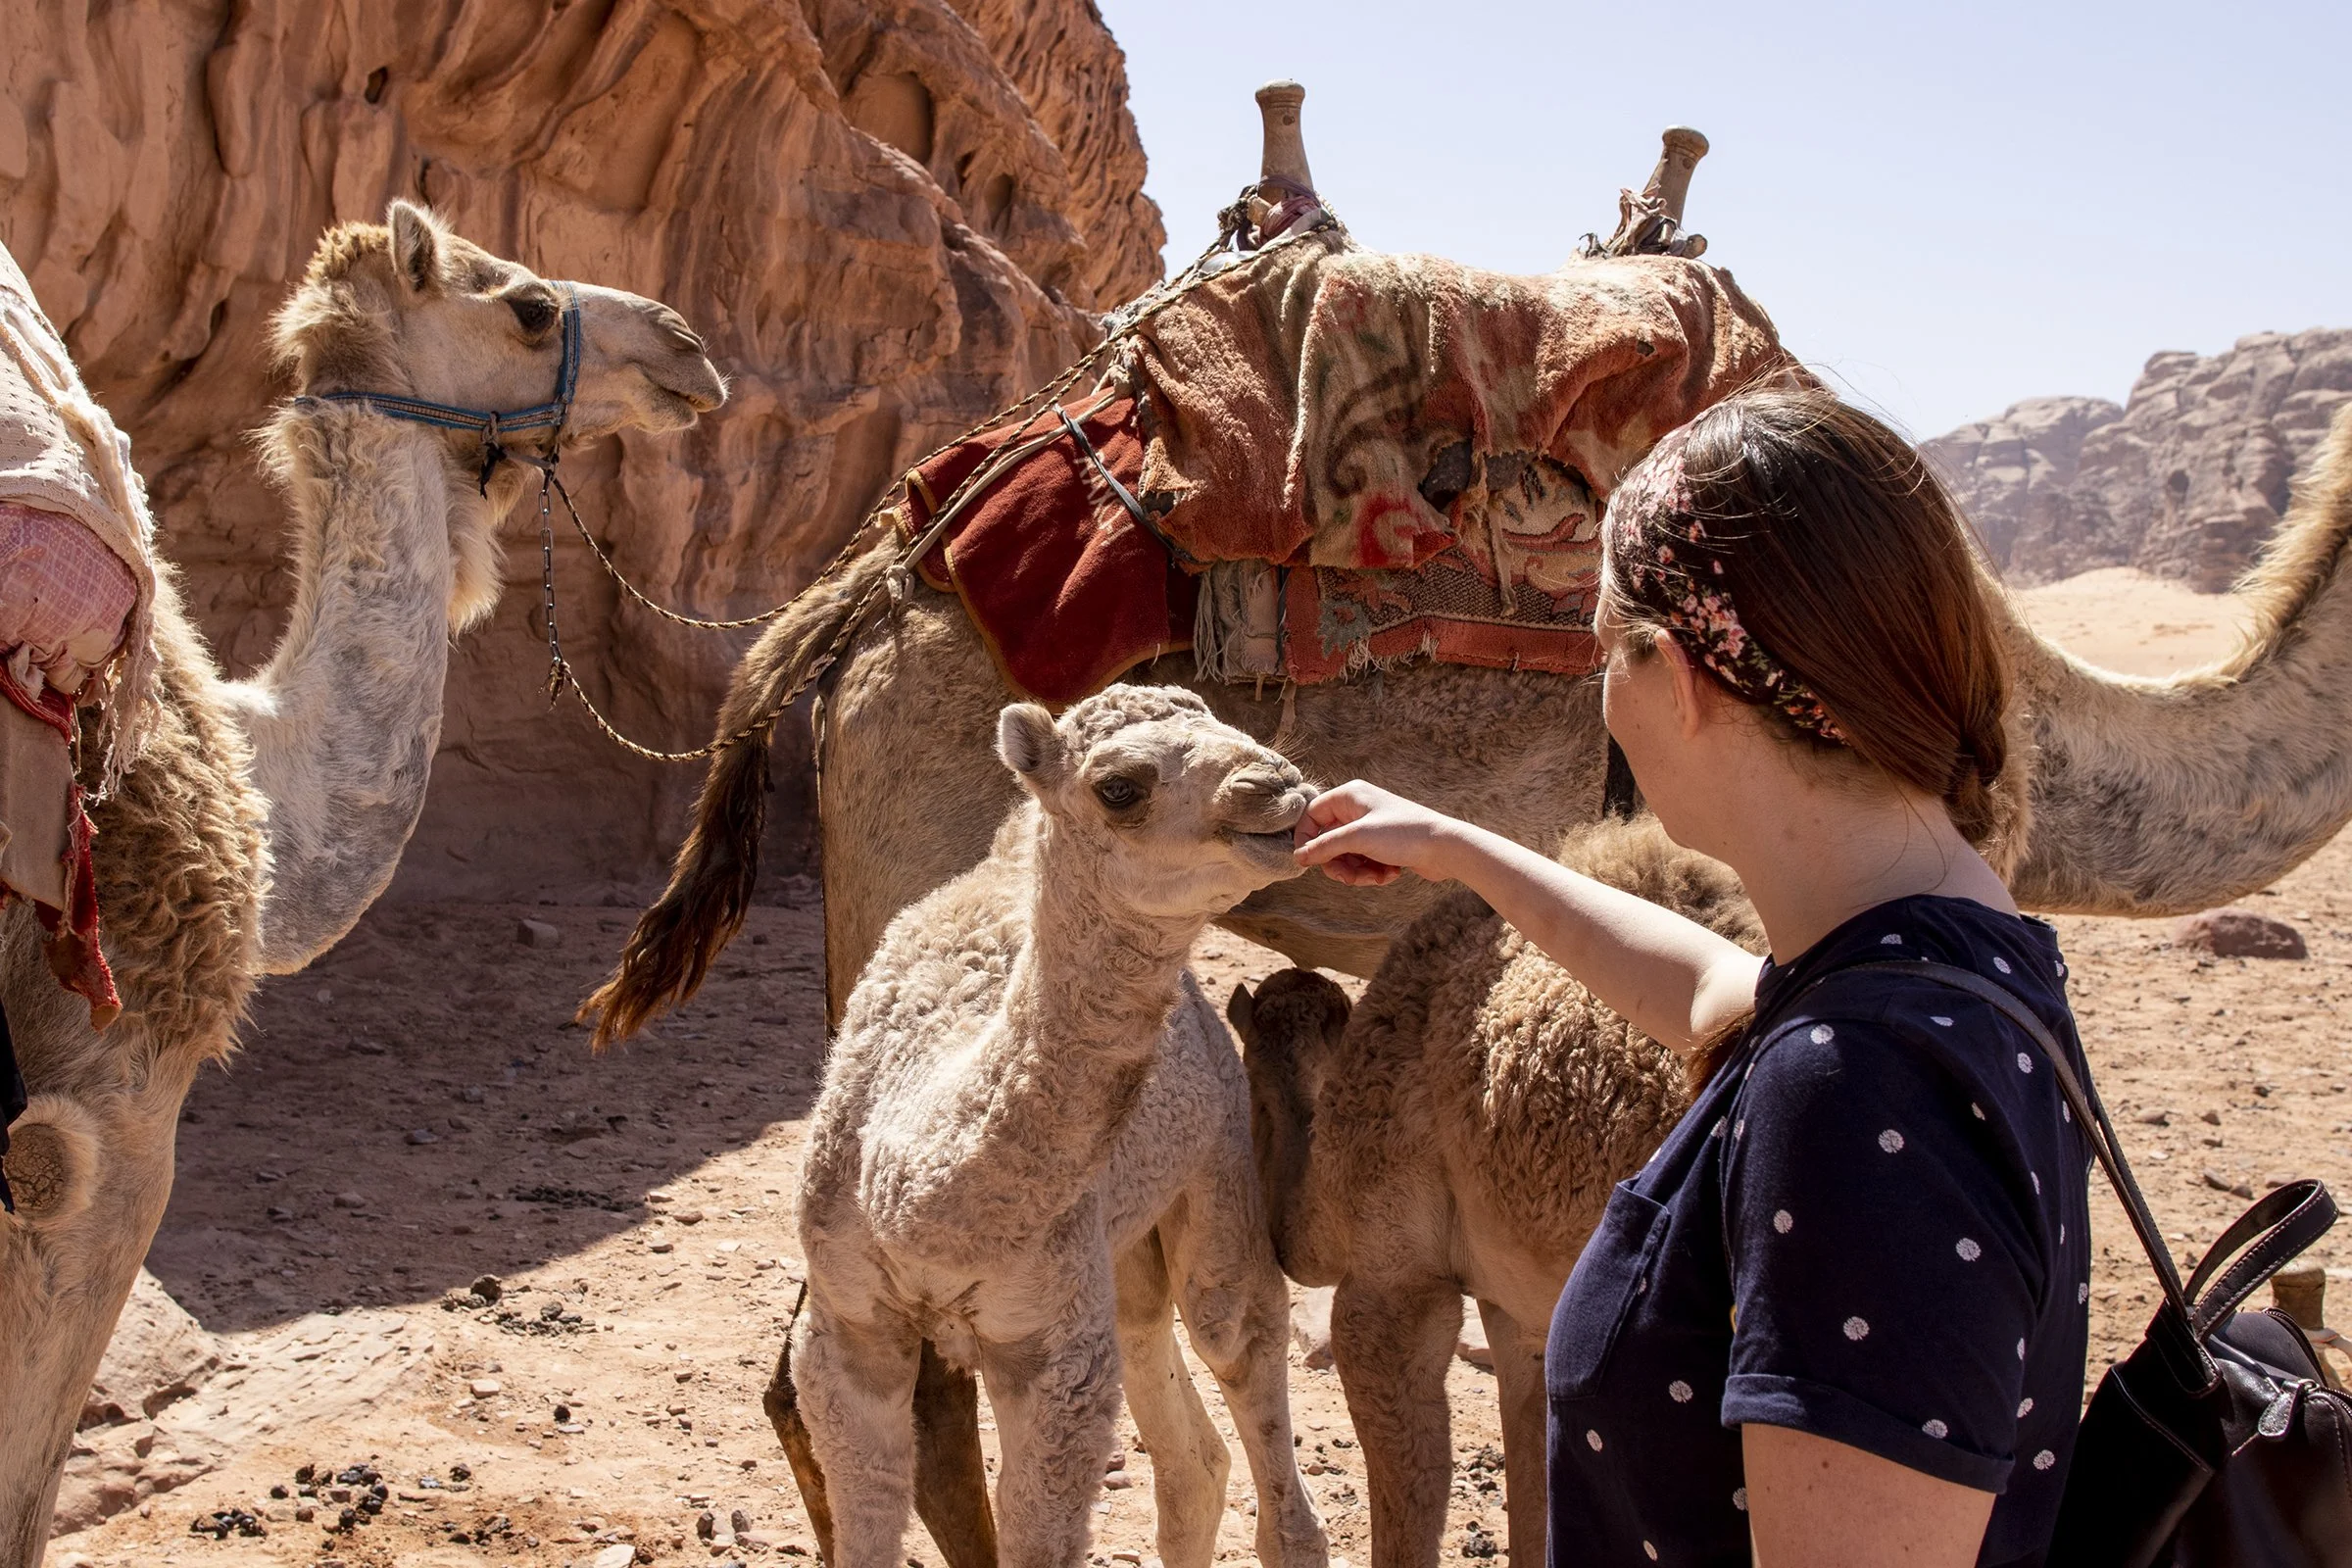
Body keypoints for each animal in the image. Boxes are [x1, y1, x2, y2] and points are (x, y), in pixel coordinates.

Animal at [787, 685, 1327, 1568]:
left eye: (1232, 723)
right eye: (1120, 787)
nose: (1278, 788)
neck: (913, 1185)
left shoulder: (1050, 1351)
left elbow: (1036, 1525)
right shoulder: (849, 1330)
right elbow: (868, 1510)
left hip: (1217, 1164)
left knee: (1238, 1350)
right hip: (1122, 1256)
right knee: (1192, 1457)